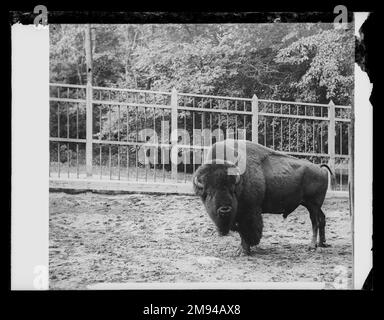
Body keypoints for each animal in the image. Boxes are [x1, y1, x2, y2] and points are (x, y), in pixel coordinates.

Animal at [192, 139, 332, 255]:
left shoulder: (249, 212)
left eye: (232, 190)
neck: (240, 179)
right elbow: (241, 231)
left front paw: (244, 250)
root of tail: (320, 169)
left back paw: (312, 246)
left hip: (313, 205)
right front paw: (241, 249)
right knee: (322, 219)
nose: (225, 210)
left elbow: (246, 231)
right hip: (313, 205)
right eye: (209, 192)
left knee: (315, 222)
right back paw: (322, 243)